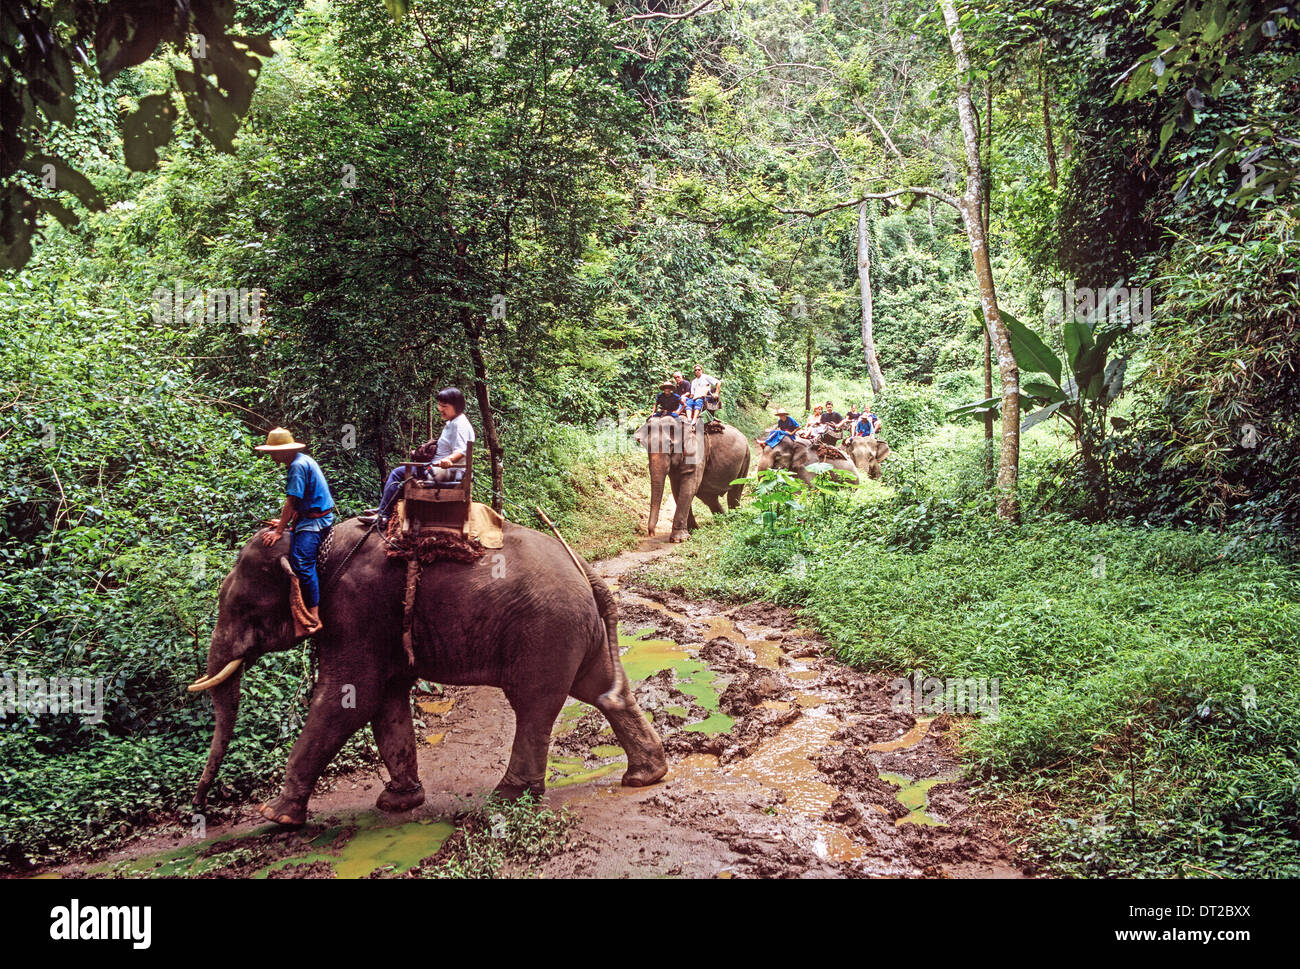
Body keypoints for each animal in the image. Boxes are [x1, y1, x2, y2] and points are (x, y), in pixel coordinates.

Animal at [188, 517, 665, 827]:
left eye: (242, 607)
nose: (203, 807)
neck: (318, 543)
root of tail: (587, 572)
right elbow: (385, 700)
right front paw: (398, 803)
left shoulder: (356, 610)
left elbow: (349, 698)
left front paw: (275, 815)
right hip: (577, 630)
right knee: (601, 691)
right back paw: (645, 775)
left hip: (547, 632)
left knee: (534, 706)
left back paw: (506, 799)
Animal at [631, 411, 754, 541]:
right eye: (646, 447)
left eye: (670, 446)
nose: (651, 533)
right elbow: (677, 489)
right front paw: (693, 531)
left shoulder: (697, 452)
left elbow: (689, 488)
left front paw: (679, 539)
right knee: (708, 497)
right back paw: (723, 520)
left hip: (746, 458)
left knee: (734, 492)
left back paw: (734, 519)